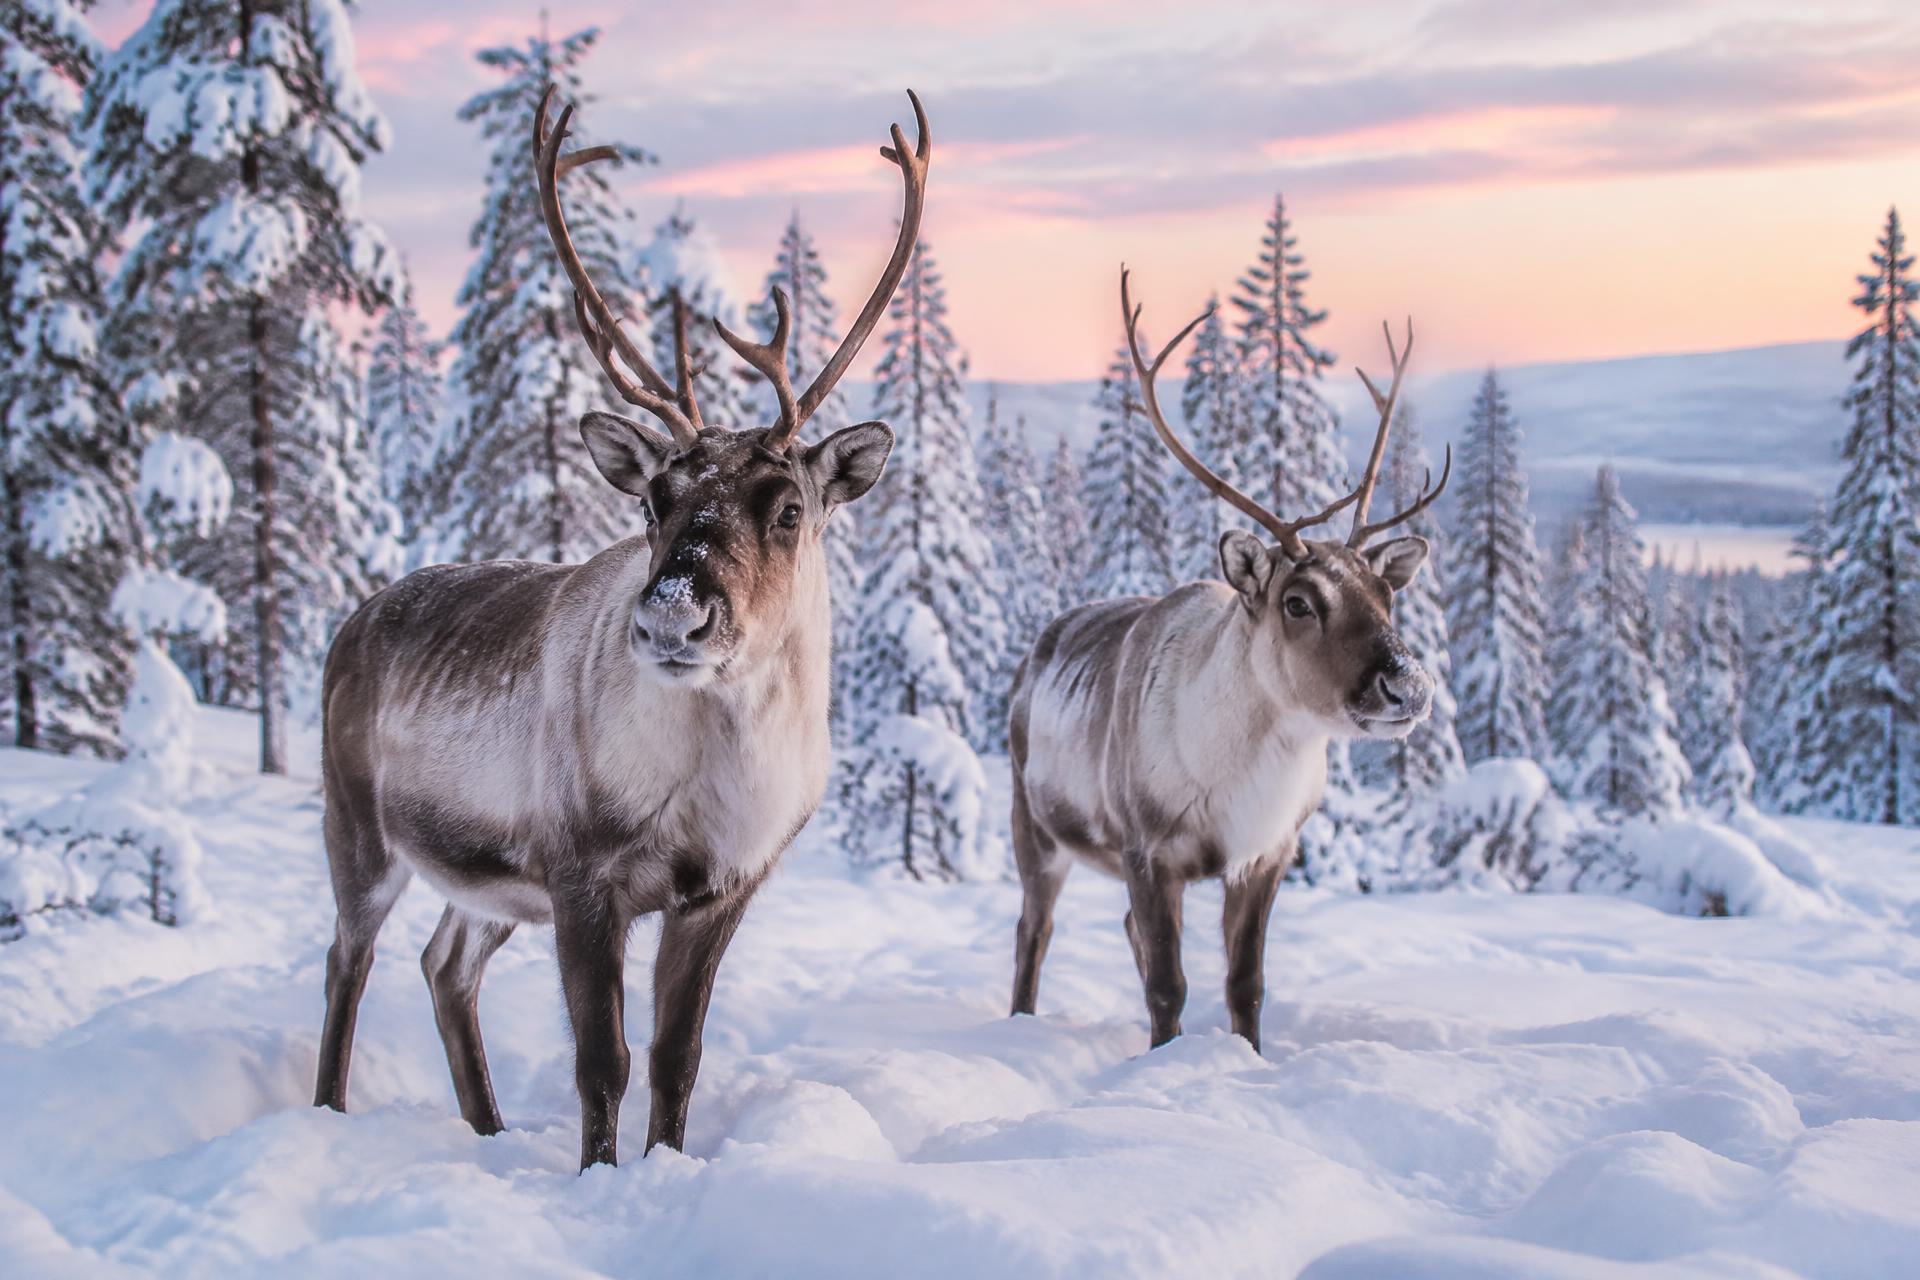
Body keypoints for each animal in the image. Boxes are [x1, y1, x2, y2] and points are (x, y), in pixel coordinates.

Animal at [312, 88, 930, 1169]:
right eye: (652, 498)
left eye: (790, 507)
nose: (675, 610)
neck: (716, 770)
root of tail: (353, 623)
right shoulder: (581, 875)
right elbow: (602, 1061)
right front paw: (598, 1176)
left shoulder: (720, 889)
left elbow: (677, 1059)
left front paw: (663, 1164)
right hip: (360, 828)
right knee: (348, 960)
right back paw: (330, 1111)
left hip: (484, 884)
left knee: (443, 963)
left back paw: (488, 1128)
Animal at [1005, 267, 1449, 1053]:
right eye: (1298, 602)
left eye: (1386, 595)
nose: (1408, 686)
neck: (1245, 771)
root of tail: (1035, 654)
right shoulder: (1148, 850)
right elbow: (1167, 985)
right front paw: (1162, 1063)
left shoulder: (1268, 855)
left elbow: (1246, 984)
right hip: (1036, 828)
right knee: (1035, 929)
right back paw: (1020, 1022)